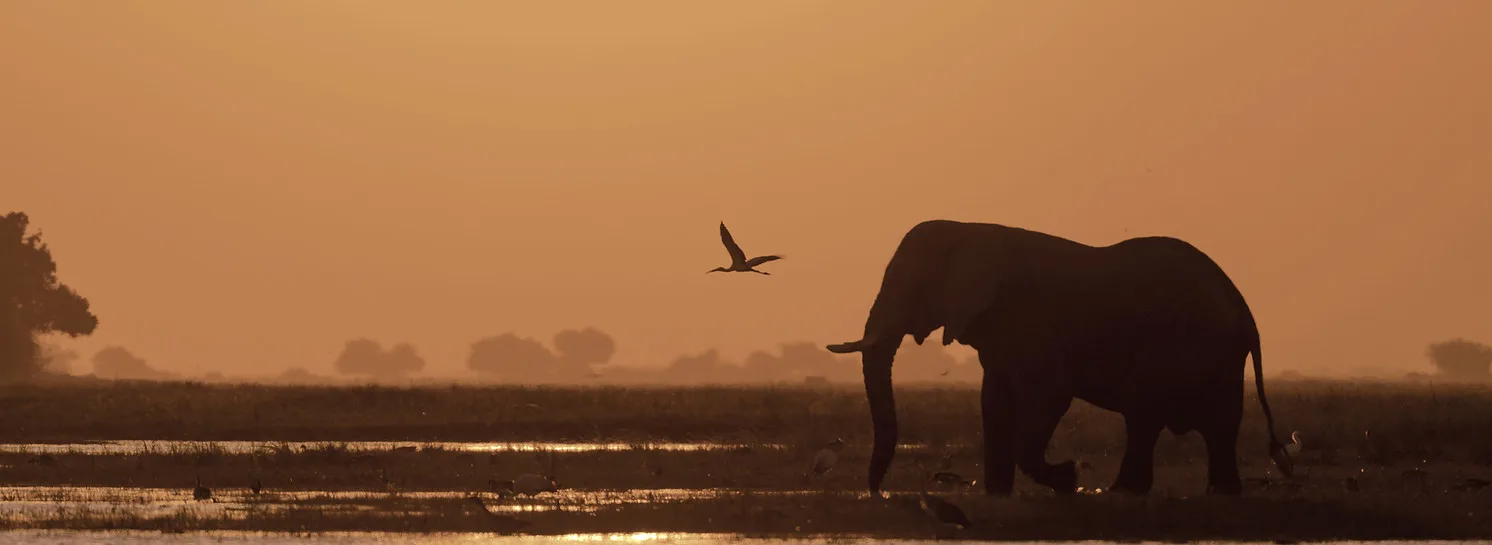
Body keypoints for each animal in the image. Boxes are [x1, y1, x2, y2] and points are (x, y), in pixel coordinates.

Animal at [825, 220, 1293, 496]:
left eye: (912, 285)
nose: (878, 493)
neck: (972, 228)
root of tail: (1245, 310)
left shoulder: (1030, 318)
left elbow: (1048, 395)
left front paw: (1067, 478)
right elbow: (994, 400)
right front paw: (997, 495)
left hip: (1191, 344)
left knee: (1148, 414)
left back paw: (1124, 493)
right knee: (1213, 425)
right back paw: (1215, 493)